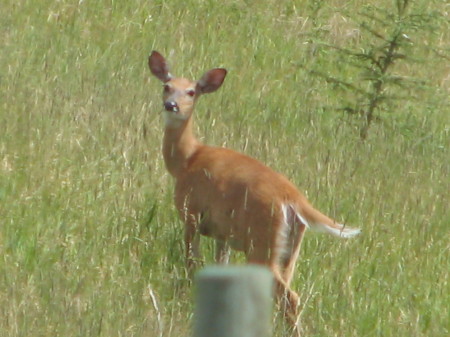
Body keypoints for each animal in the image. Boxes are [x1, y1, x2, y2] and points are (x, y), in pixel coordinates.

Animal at [149, 50, 360, 334]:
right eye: (167, 86)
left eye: (192, 92)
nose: (171, 105)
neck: (187, 160)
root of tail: (294, 199)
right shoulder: (222, 233)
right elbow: (220, 266)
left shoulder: (190, 211)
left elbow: (191, 260)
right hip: (289, 249)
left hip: (262, 241)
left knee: (290, 297)